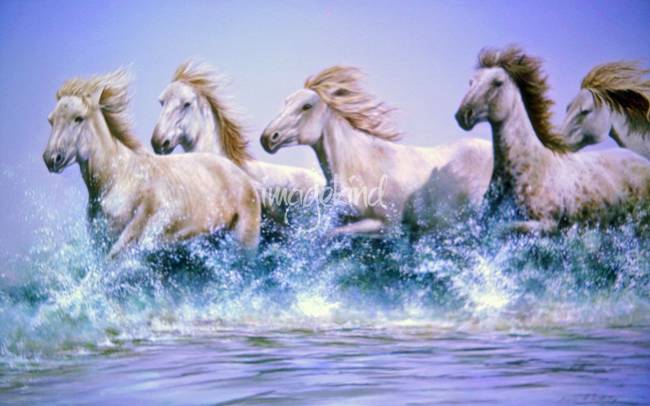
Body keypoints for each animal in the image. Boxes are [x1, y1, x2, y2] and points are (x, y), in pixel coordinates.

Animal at [43, 69, 261, 258]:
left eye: (78, 118)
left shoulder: (134, 237)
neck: (119, 178)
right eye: (51, 121)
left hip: (245, 243)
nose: (51, 159)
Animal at [260, 66, 493, 237]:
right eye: (286, 102)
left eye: (306, 106)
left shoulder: (385, 225)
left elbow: (329, 235)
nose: (268, 138)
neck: (363, 165)